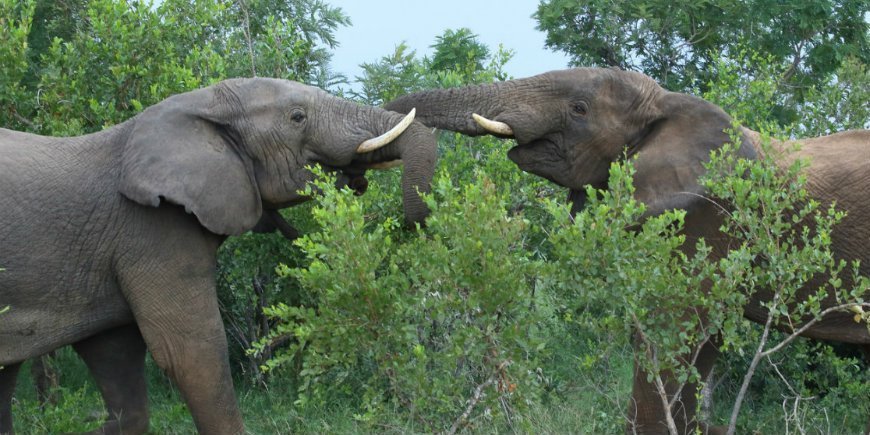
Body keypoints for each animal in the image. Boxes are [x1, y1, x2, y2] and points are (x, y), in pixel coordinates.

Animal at [0, 77, 436, 434]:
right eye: (297, 117)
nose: (410, 223)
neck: (198, 105)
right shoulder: (150, 230)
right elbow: (191, 352)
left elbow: (117, 360)